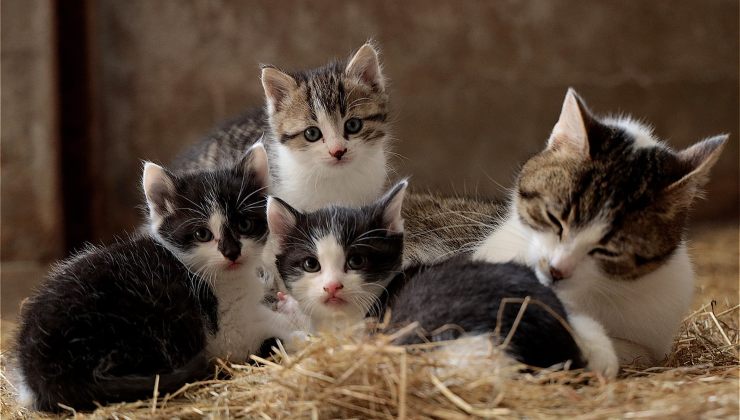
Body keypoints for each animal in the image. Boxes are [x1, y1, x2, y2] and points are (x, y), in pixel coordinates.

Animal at [10, 144, 300, 410]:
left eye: (244, 225)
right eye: (202, 234)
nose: (232, 252)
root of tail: (40, 372)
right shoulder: (225, 332)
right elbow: (264, 330)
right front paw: (297, 334)